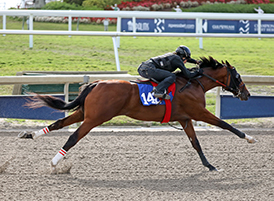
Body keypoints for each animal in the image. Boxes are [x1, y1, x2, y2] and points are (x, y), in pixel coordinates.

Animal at [22, 56, 256, 173]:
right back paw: (54, 162)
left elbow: (195, 143)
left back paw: (30, 135)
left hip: (84, 114)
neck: (193, 84)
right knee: (72, 137)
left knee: (59, 123)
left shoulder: (185, 118)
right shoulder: (199, 112)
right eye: (237, 76)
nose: (246, 94)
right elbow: (226, 125)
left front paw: (210, 166)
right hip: (95, 118)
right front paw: (250, 138)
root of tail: (96, 83)